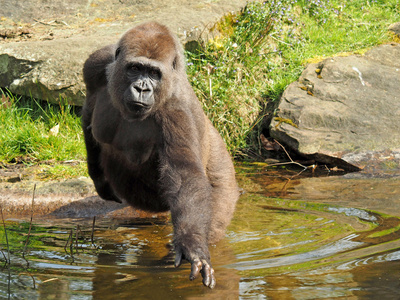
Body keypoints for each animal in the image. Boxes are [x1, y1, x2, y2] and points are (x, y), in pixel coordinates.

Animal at [81, 21, 238, 288]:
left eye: (154, 74)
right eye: (135, 69)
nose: (141, 88)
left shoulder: (176, 109)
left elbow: (185, 177)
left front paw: (192, 248)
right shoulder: (96, 65)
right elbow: (88, 118)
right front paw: (99, 179)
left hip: (223, 179)